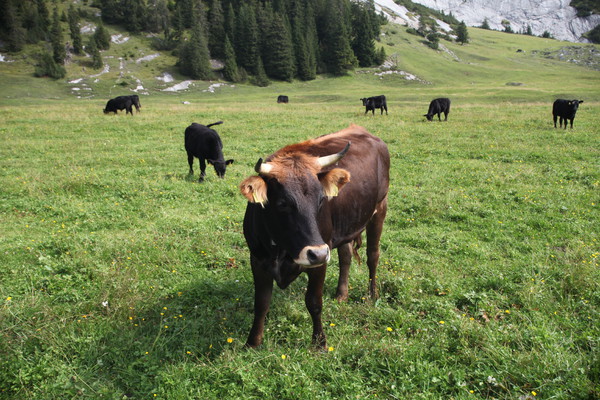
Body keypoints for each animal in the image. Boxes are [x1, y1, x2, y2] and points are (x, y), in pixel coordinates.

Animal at [241, 124, 392, 346]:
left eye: (321, 199)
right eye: (282, 203)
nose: (317, 253)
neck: (282, 250)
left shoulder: (320, 262)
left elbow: (314, 302)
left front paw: (319, 342)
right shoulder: (257, 259)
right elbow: (261, 303)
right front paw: (252, 342)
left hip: (379, 208)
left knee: (373, 256)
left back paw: (372, 294)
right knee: (346, 256)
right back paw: (341, 294)